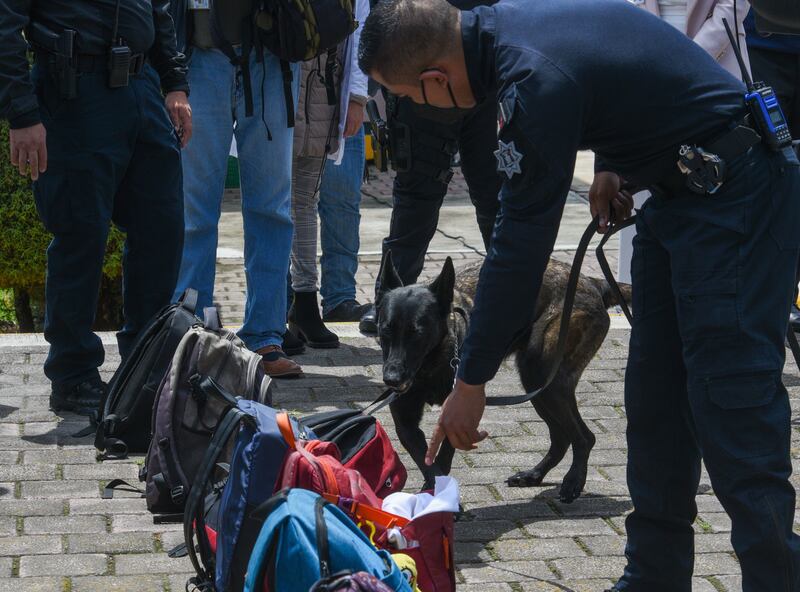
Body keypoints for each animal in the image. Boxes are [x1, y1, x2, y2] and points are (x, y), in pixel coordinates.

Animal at [376, 250, 632, 504]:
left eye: (418, 333)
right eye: (385, 330)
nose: (391, 378)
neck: (431, 365)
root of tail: (592, 282)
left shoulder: (456, 414)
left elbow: (442, 459)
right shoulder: (407, 424)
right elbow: (427, 462)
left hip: (543, 378)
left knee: (584, 437)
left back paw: (573, 481)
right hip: (537, 388)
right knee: (561, 437)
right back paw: (534, 475)